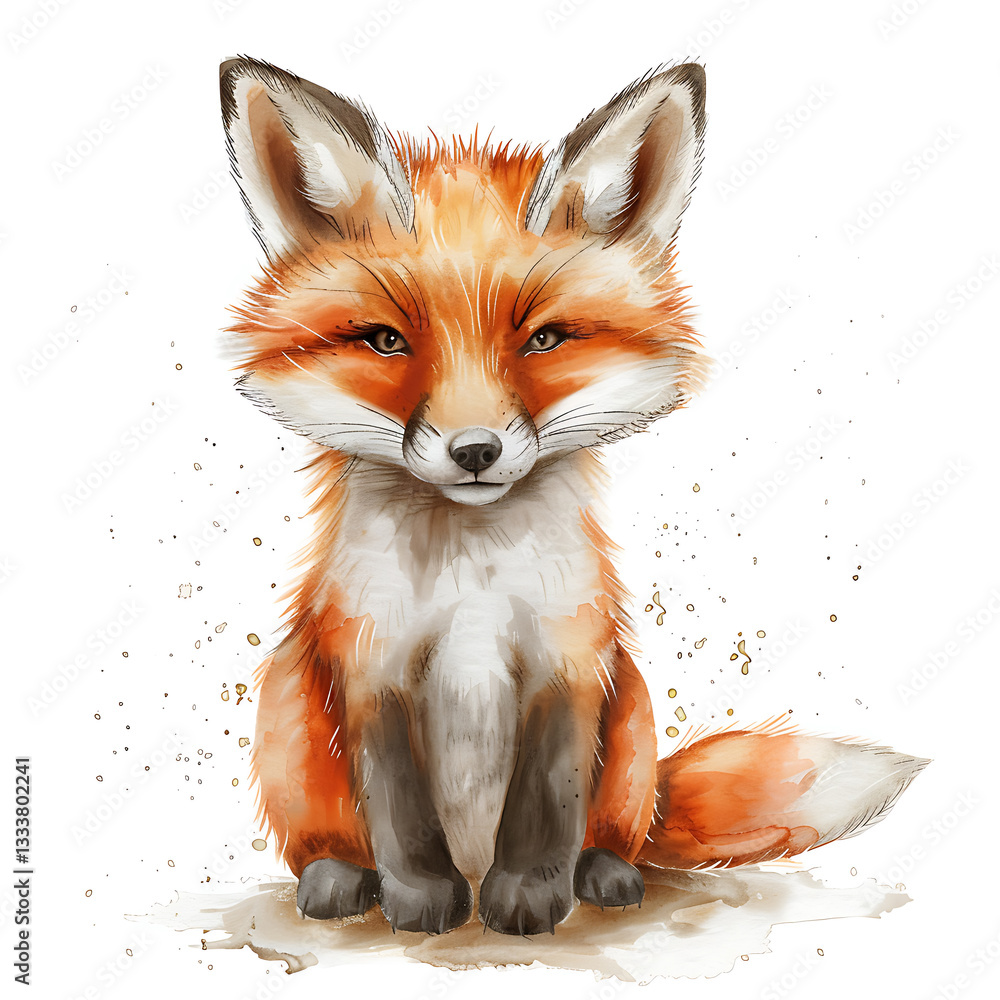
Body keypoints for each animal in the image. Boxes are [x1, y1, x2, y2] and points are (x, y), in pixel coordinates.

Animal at [219, 57, 927, 936]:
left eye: (545, 340)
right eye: (386, 341)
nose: (475, 451)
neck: (473, 588)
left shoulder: (570, 662)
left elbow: (548, 800)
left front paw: (527, 896)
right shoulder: (372, 668)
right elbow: (398, 810)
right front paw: (420, 898)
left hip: (633, 721)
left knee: (623, 831)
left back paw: (606, 874)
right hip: (286, 702)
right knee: (327, 836)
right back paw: (340, 879)